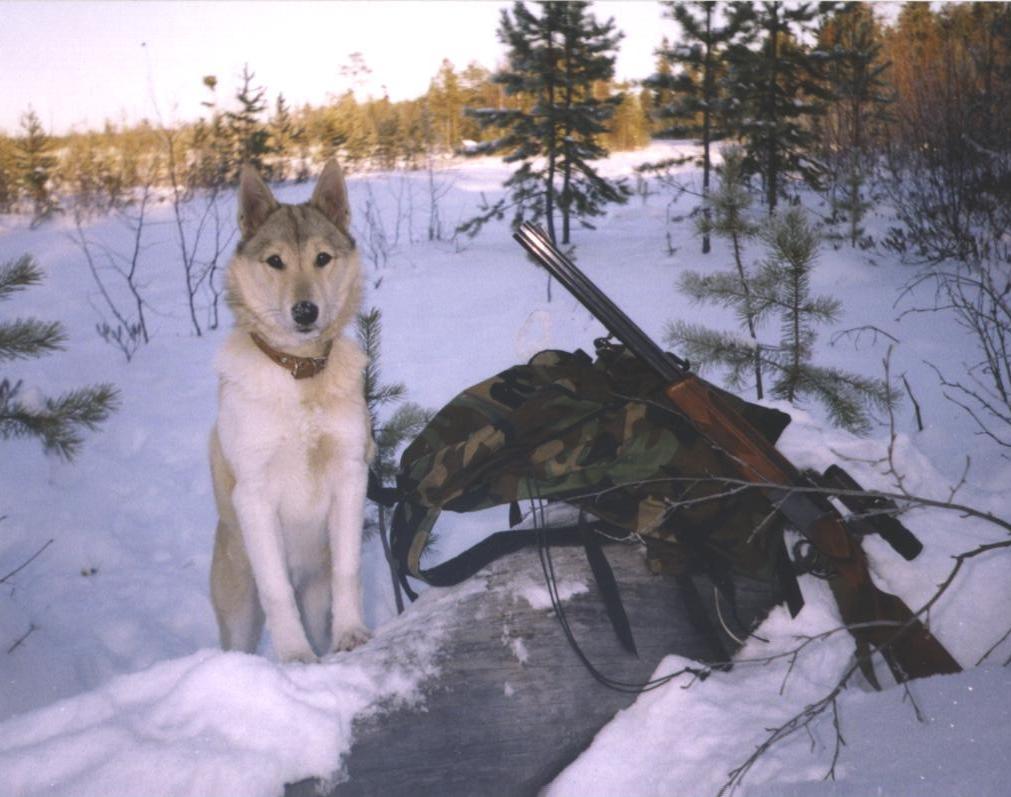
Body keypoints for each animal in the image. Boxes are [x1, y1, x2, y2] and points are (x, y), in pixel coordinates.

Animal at [210, 160, 376, 659]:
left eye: (322, 258)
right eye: (275, 261)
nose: (305, 311)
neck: (299, 374)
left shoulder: (350, 476)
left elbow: (347, 570)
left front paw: (351, 634)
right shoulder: (254, 495)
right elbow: (277, 589)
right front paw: (293, 657)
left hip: (315, 594)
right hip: (238, 608)